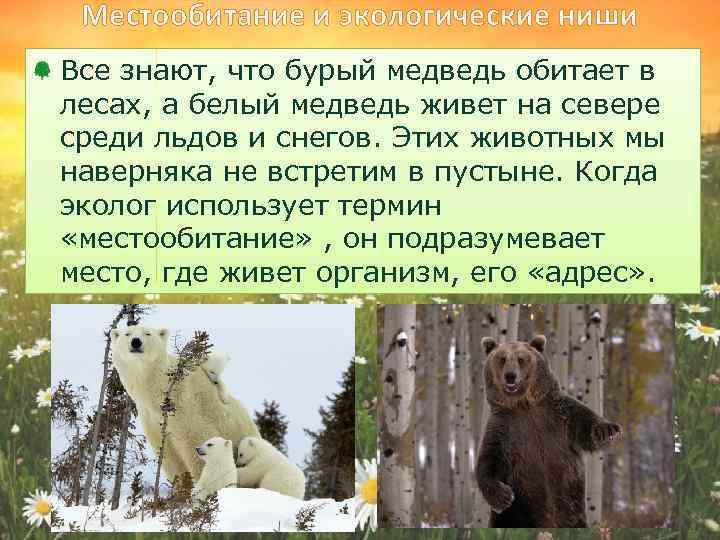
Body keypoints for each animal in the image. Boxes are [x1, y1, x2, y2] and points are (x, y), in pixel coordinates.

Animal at [110, 325, 260, 482]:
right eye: (127, 334)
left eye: (147, 333)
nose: (136, 342)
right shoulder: (151, 417)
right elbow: (169, 456)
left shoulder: (186, 407)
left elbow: (196, 444)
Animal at [475, 335, 622, 528]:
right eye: (502, 359)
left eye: (521, 359)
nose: (510, 376)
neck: (524, 404)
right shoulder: (504, 430)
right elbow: (489, 460)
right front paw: (503, 496)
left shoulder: (559, 416)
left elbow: (585, 422)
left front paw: (609, 430)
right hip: (517, 515)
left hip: (571, 510)